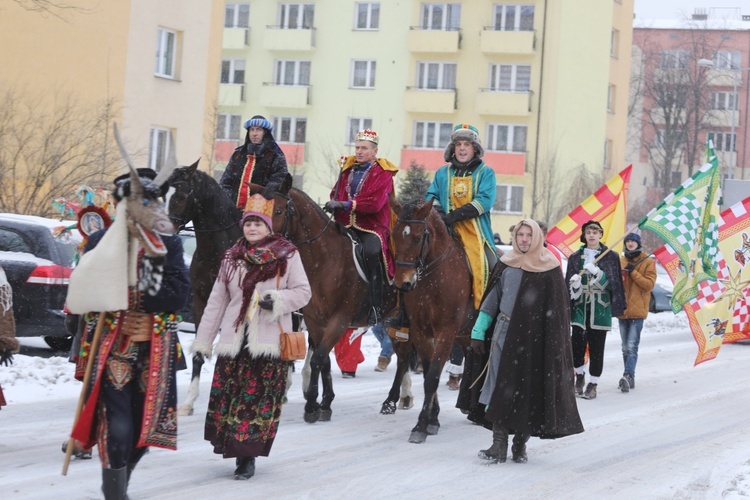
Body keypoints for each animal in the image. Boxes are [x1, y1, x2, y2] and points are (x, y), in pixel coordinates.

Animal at [388, 197, 476, 444]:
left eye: (418, 237)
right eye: (394, 234)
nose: (403, 283)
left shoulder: (446, 331)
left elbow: (433, 376)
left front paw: (420, 425)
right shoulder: (421, 331)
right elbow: (429, 373)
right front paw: (432, 420)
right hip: (465, 335)